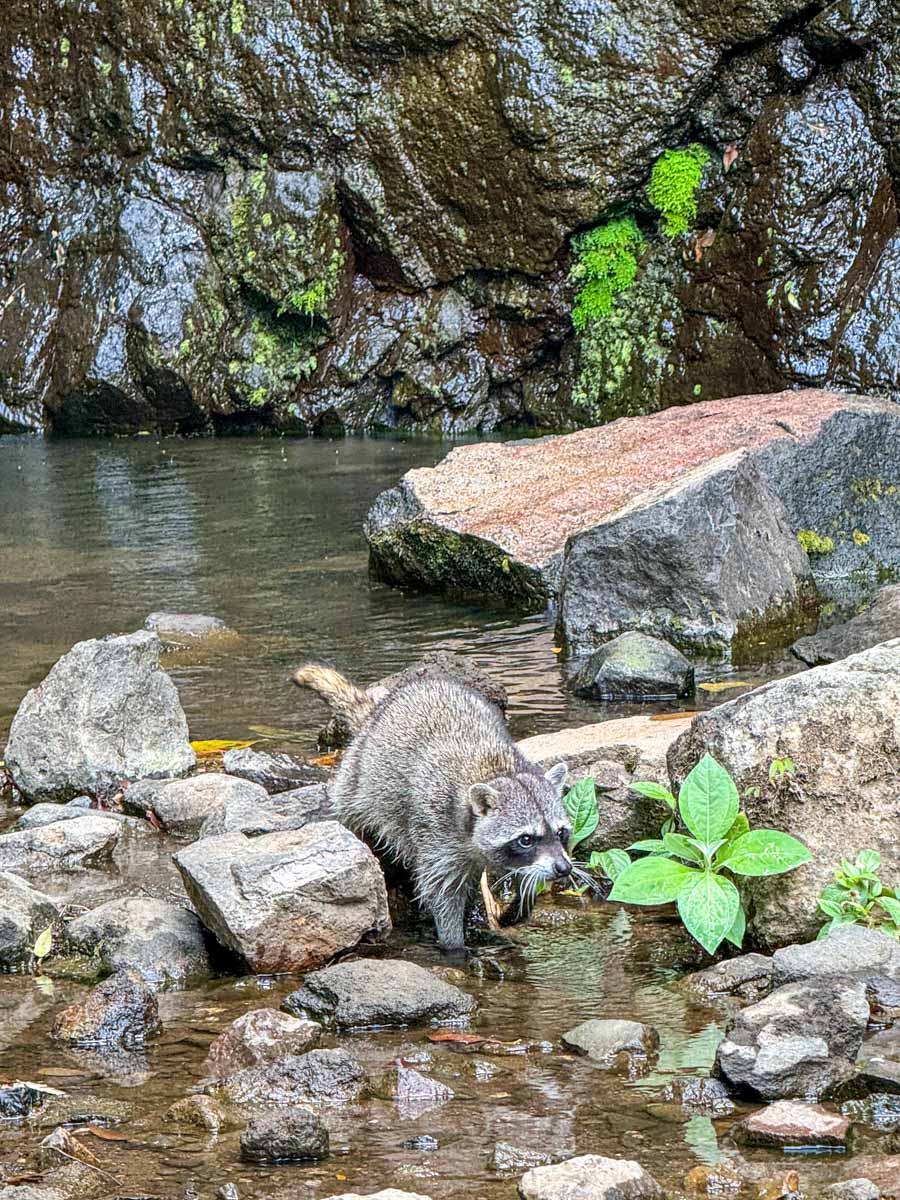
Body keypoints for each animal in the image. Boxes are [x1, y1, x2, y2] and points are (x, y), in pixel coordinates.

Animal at [293, 663, 572, 948]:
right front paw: (454, 944)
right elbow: (441, 893)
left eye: (561, 832)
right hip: (358, 777)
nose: (564, 868)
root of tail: (378, 710)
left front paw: (522, 903)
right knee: (349, 810)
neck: (497, 771)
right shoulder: (435, 829)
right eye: (526, 839)